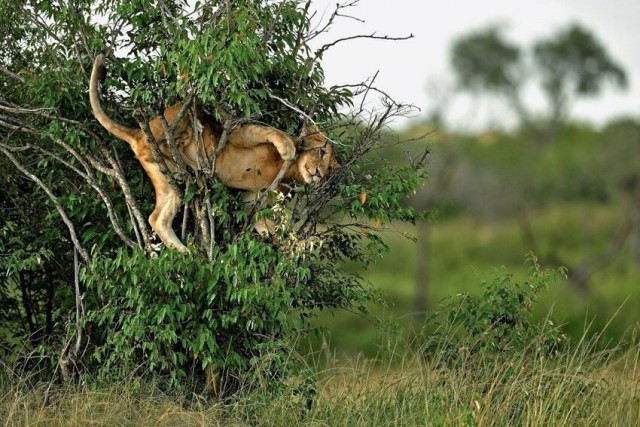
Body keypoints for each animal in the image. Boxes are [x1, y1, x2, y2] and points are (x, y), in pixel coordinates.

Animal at [91, 55, 340, 252]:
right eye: (322, 151)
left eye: (330, 169)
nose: (319, 173)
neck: (289, 173)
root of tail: (137, 135)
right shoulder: (236, 132)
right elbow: (272, 131)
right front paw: (288, 148)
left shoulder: (255, 198)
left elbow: (265, 223)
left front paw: (287, 247)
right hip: (180, 116)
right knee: (188, 110)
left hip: (166, 178)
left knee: (157, 218)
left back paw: (185, 254)